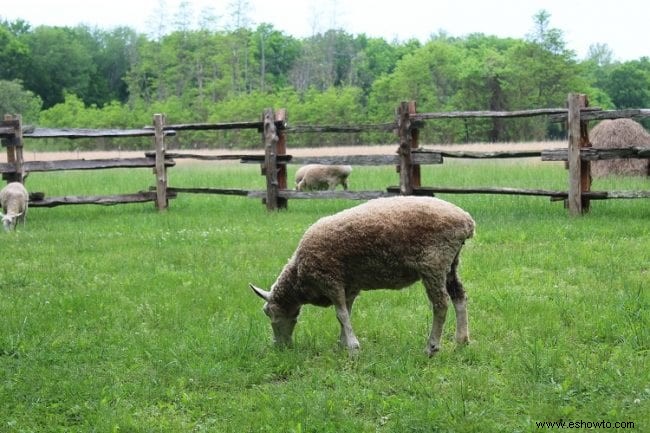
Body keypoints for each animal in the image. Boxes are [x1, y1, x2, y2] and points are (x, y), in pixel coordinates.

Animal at [251, 196, 474, 354]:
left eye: (269, 313)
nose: (279, 347)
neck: (298, 276)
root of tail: (466, 222)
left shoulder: (330, 280)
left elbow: (340, 314)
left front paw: (352, 347)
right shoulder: (349, 286)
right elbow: (346, 313)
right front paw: (342, 343)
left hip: (434, 263)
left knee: (441, 304)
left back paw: (432, 347)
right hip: (451, 263)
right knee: (459, 296)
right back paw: (462, 340)